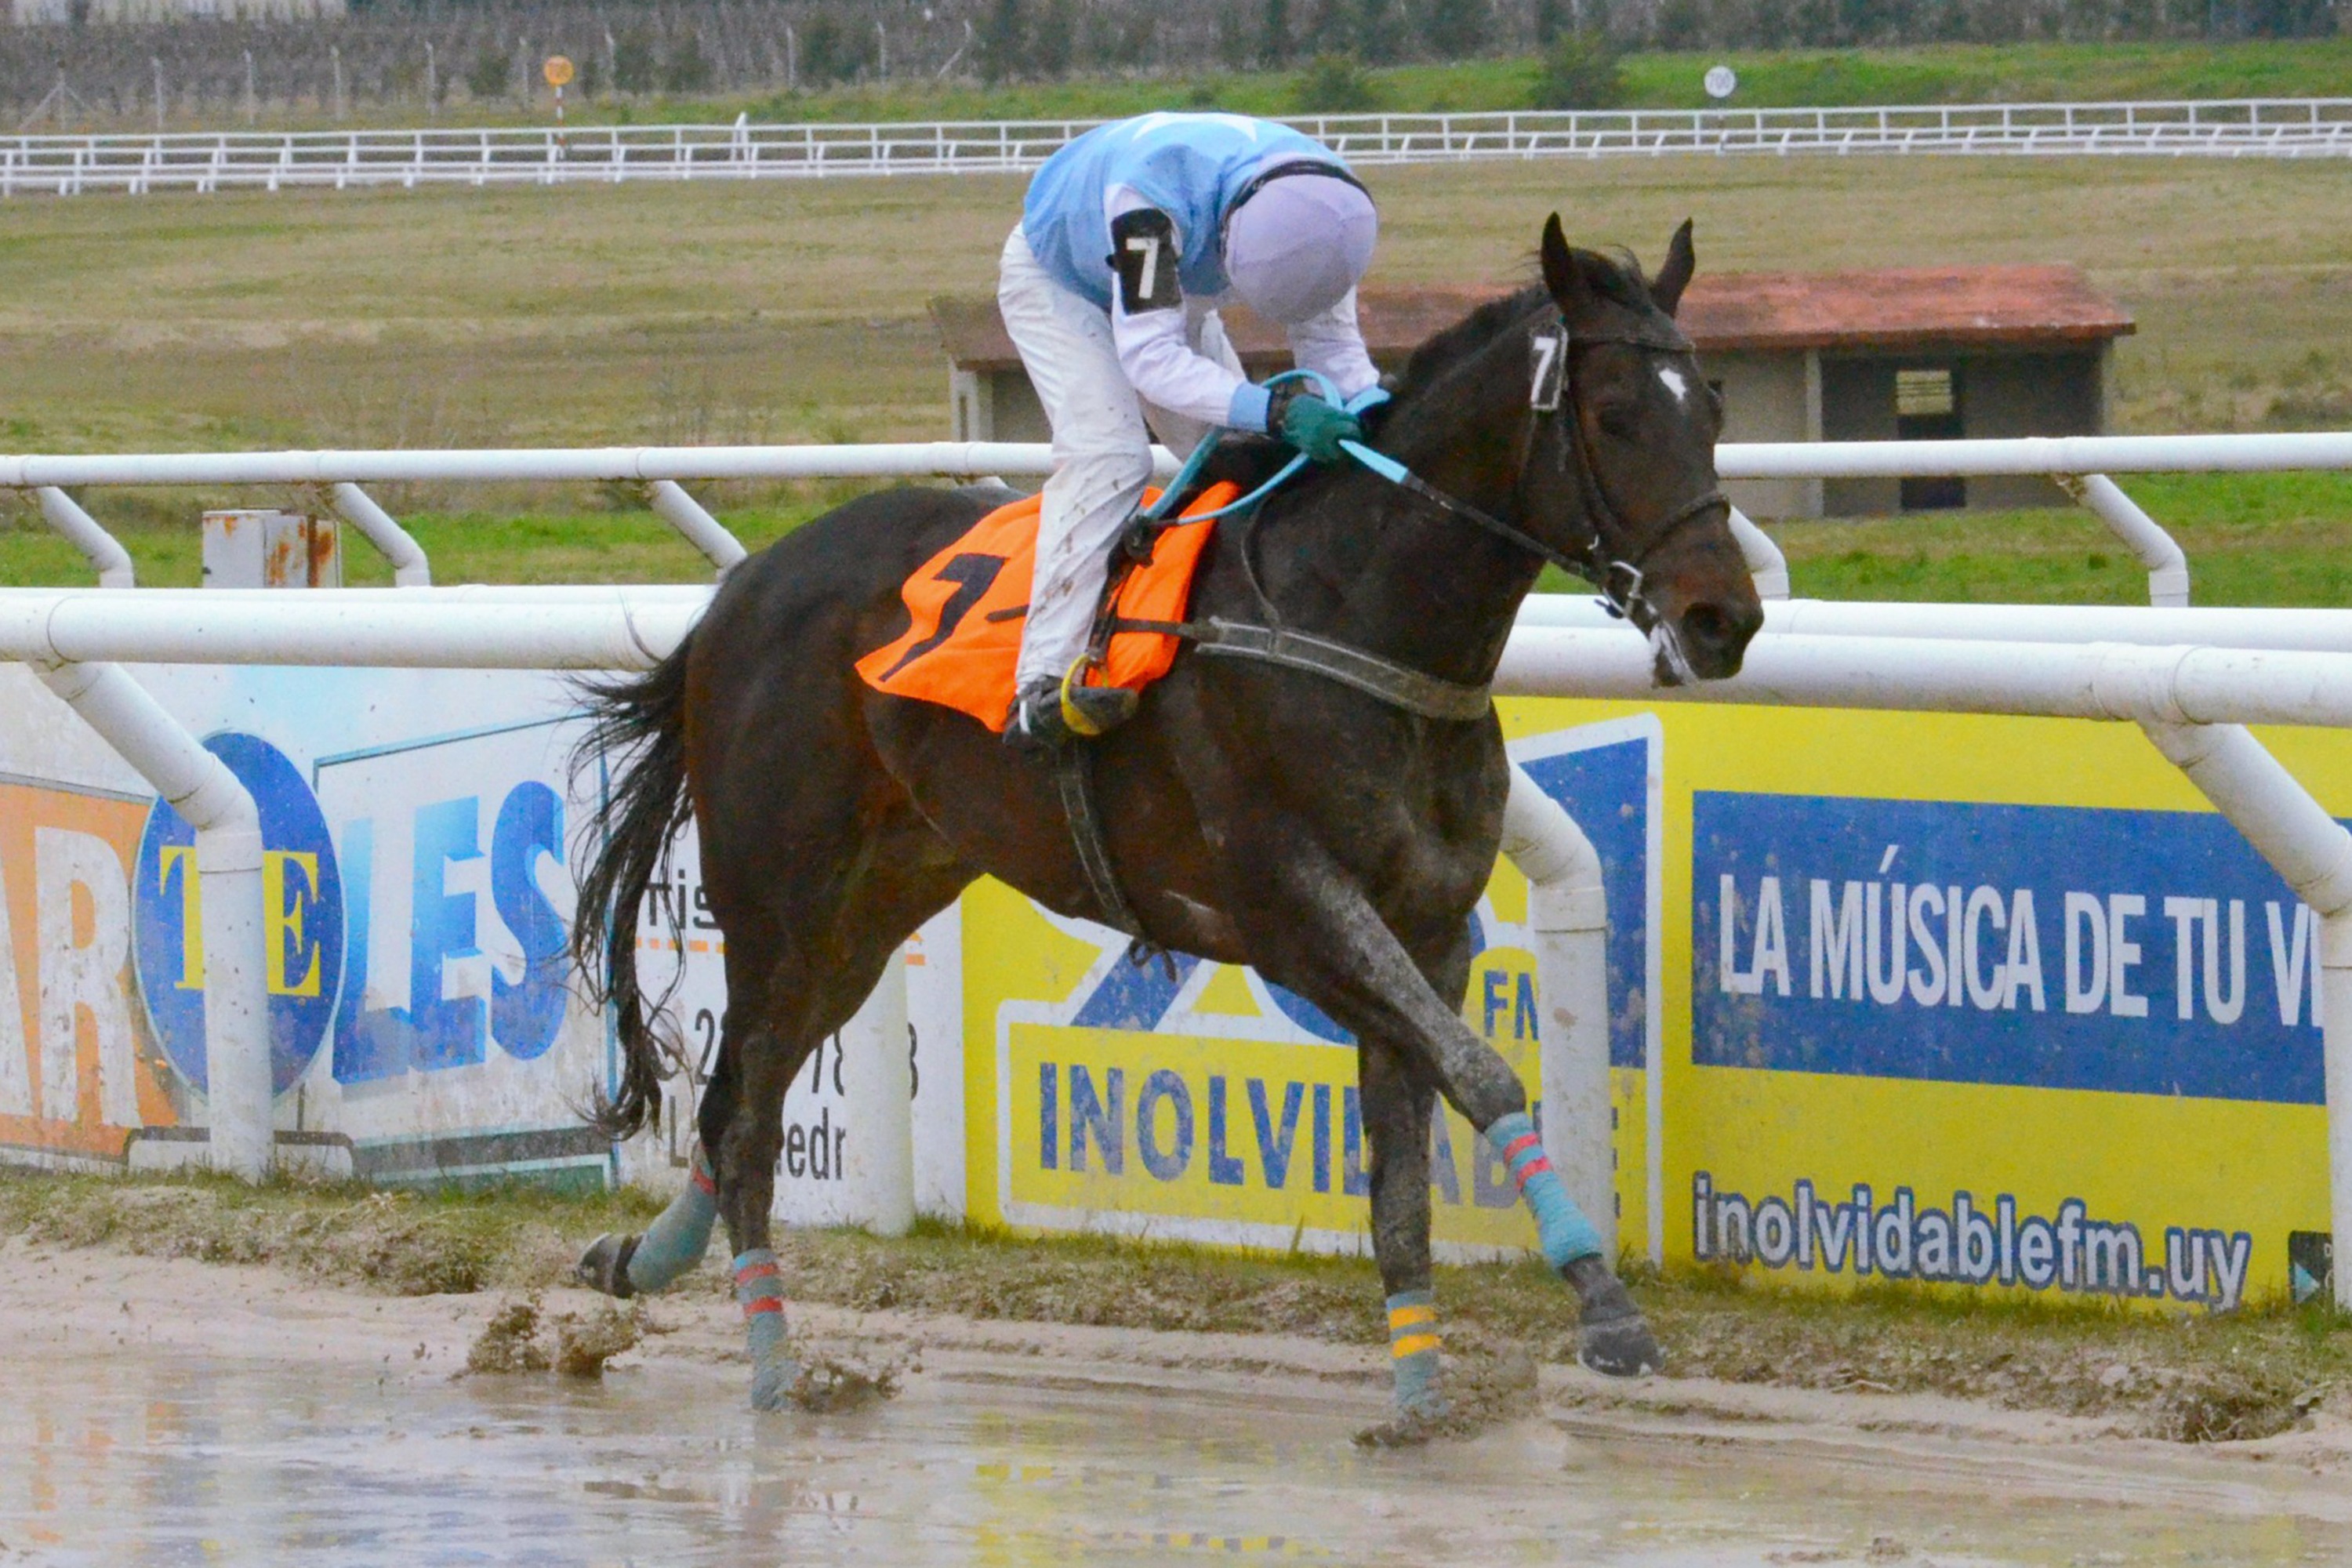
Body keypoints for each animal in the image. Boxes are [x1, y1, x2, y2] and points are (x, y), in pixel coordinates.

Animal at [569, 214, 1765, 1417]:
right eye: (1614, 414)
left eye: (1712, 408)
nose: (1725, 618)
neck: (1357, 619)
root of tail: (740, 590)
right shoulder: (1294, 910)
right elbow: (1482, 1073)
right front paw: (1604, 1306)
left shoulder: (1428, 930)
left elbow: (1406, 1164)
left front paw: (1422, 1400)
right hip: (777, 895)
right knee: (745, 1113)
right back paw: (772, 1372)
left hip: (870, 910)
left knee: (740, 1094)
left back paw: (642, 1259)